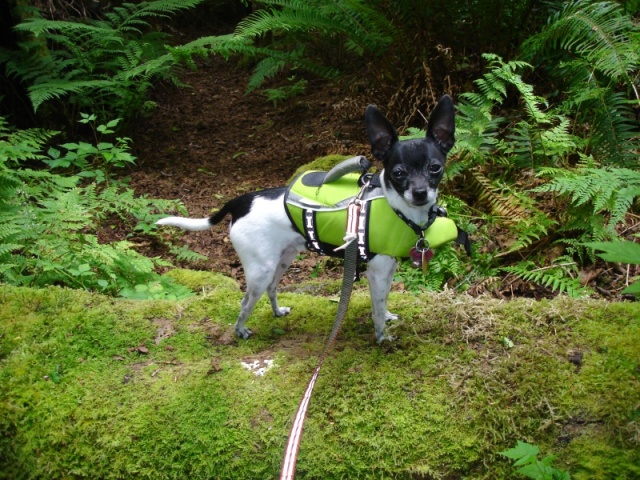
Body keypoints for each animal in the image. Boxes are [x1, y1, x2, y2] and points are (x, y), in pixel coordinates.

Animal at [155, 94, 456, 342]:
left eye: (435, 168)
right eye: (398, 173)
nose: (420, 193)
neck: (397, 208)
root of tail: (241, 201)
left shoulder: (387, 268)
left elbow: (381, 303)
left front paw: (388, 317)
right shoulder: (378, 271)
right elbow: (377, 309)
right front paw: (382, 336)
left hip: (282, 260)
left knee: (272, 289)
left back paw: (277, 312)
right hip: (260, 270)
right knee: (245, 303)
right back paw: (240, 330)